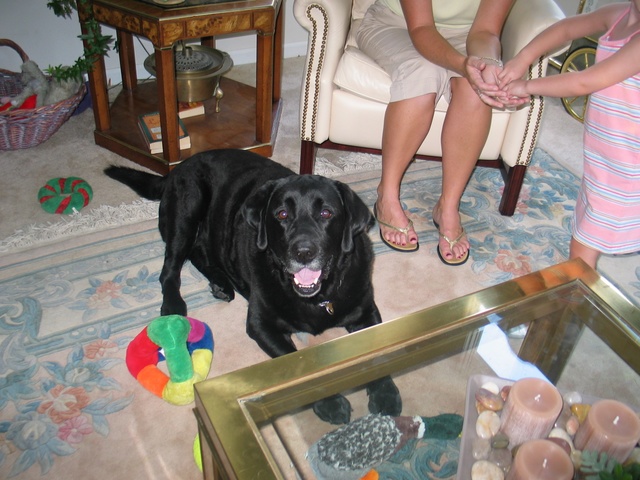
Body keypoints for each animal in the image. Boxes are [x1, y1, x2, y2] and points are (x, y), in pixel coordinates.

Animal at [106, 148, 400, 422]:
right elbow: (297, 364)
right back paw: (174, 305)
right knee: (171, 267)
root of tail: (177, 167)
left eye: (326, 213)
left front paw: (385, 394)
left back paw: (221, 284)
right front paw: (330, 402)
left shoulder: (366, 311)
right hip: (186, 209)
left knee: (199, 251)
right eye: (282, 214)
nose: (303, 252)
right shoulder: (261, 324)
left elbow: (379, 348)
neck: (318, 297)